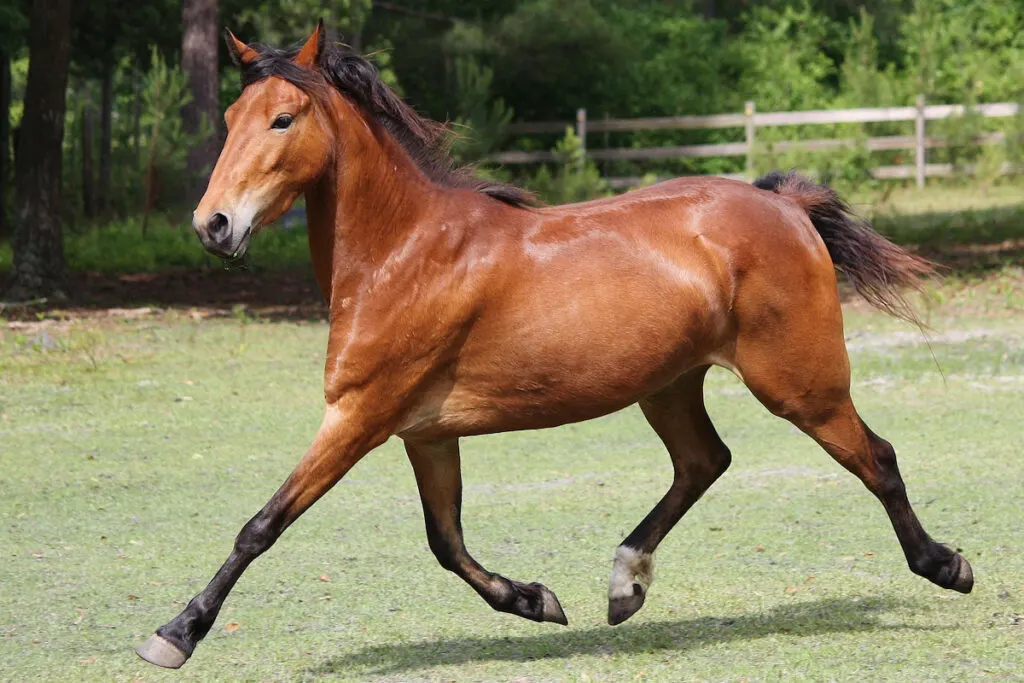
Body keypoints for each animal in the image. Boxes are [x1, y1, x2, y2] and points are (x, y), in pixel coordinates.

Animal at [136, 22, 974, 671]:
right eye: (232, 115)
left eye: (283, 119)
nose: (213, 225)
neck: (403, 252)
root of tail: (785, 205)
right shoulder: (423, 433)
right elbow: (445, 540)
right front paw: (538, 599)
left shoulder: (358, 416)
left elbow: (262, 523)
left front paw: (174, 632)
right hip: (669, 384)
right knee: (704, 461)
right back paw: (625, 583)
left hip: (799, 382)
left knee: (875, 457)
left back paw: (947, 565)